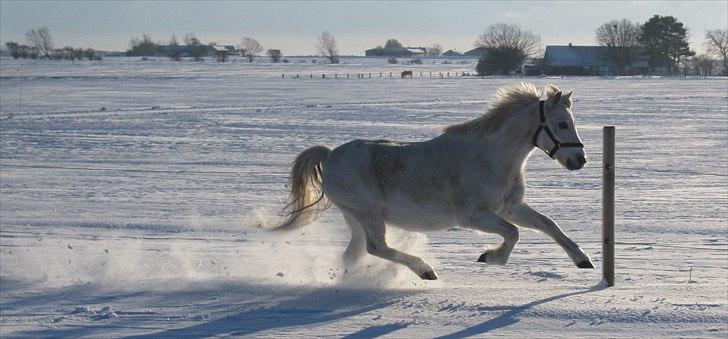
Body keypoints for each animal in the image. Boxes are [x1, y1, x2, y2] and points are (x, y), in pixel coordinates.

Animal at [272, 83, 592, 280]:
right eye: (562, 124)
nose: (580, 160)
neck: (491, 158)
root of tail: (330, 156)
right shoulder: (473, 216)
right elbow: (513, 234)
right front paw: (489, 257)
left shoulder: (510, 207)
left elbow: (549, 224)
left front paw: (583, 260)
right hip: (368, 214)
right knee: (377, 248)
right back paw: (425, 270)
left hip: (356, 219)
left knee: (354, 254)